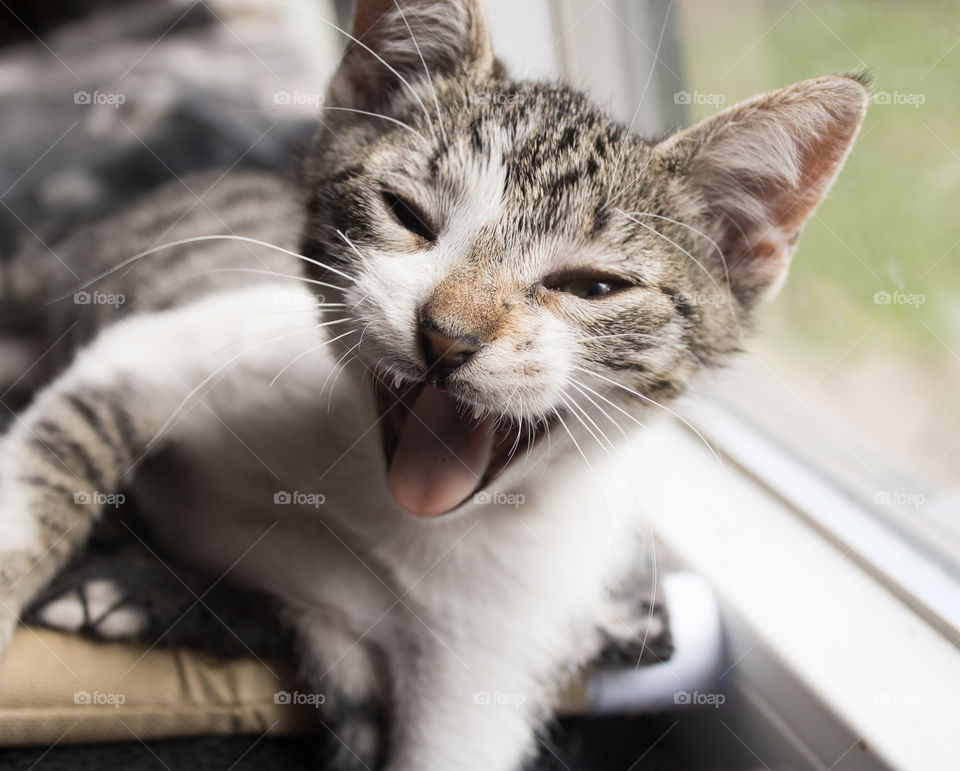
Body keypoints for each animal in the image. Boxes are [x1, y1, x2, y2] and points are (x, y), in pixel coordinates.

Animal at [0, 1, 872, 771]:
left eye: (592, 287)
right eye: (406, 213)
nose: (448, 334)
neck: (379, 515)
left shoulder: (483, 664)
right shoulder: (173, 351)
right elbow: (42, 482)